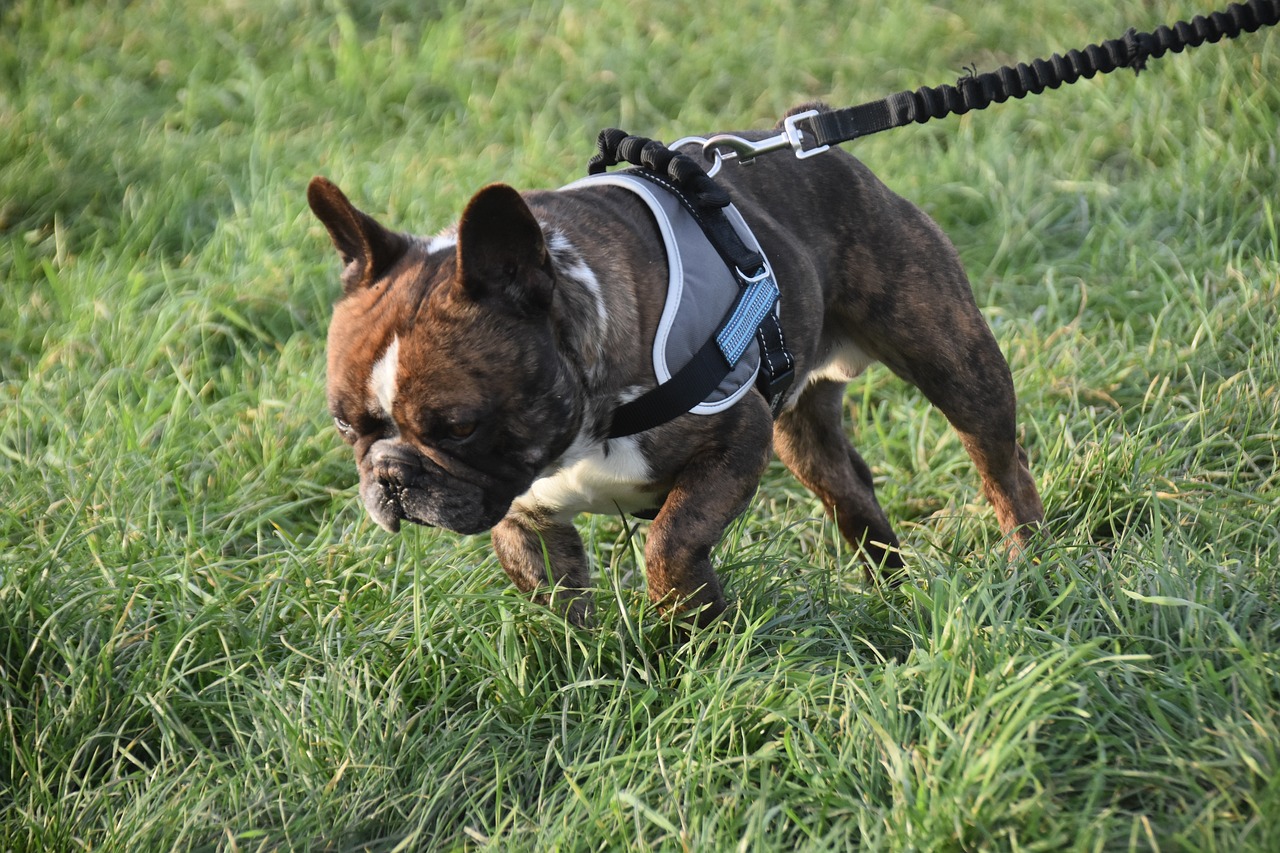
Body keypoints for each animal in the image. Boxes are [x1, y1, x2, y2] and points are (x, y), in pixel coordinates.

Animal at [307, 106, 1039, 625]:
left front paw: (693, 625)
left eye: (459, 426)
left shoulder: (735, 439)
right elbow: (559, 606)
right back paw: (892, 592)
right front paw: (585, 673)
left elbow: (670, 540)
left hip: (954, 360)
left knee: (1003, 467)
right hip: (804, 435)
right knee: (851, 493)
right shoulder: (526, 519)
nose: (391, 477)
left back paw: (1029, 566)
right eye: (344, 426)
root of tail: (814, 142)